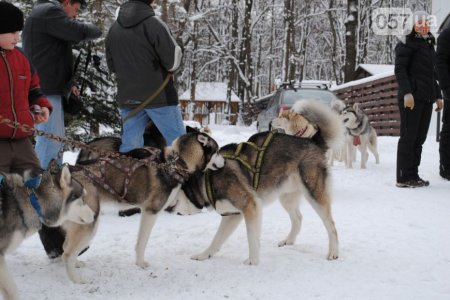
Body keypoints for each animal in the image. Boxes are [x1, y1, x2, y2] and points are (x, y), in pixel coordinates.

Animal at [59, 132, 224, 284]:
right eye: (217, 151)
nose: (224, 161)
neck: (176, 162)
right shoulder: (150, 212)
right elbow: (142, 242)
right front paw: (140, 263)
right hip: (88, 222)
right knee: (67, 253)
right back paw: (76, 280)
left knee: (65, 246)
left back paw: (76, 263)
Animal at [181, 129, 340, 264]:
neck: (207, 179)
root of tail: (312, 141)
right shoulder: (232, 215)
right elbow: (217, 238)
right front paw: (204, 255)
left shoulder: (250, 205)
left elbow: (251, 236)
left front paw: (253, 260)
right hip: (286, 197)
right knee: (298, 218)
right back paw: (288, 240)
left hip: (313, 194)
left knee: (331, 225)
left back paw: (333, 252)